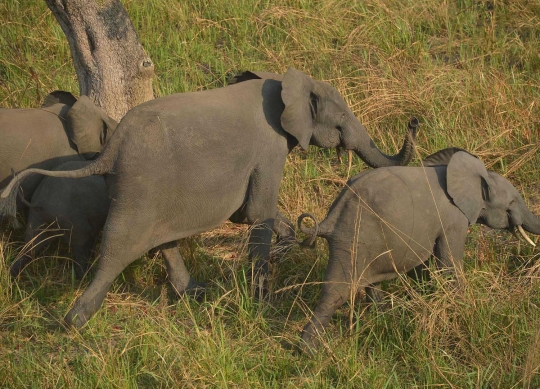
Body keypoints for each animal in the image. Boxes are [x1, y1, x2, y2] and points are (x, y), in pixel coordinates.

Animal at [0, 67, 416, 328]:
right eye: (342, 117)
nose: (414, 121)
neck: (284, 80)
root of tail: (110, 148)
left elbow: (252, 213)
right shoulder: (269, 149)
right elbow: (258, 212)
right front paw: (262, 302)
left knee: (162, 239)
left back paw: (194, 294)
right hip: (139, 186)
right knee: (118, 245)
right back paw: (75, 321)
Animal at [298, 146, 536, 352]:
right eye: (511, 203)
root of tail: (331, 216)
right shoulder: (454, 219)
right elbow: (448, 264)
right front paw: (463, 306)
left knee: (369, 282)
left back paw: (383, 316)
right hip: (353, 239)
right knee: (336, 291)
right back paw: (308, 350)